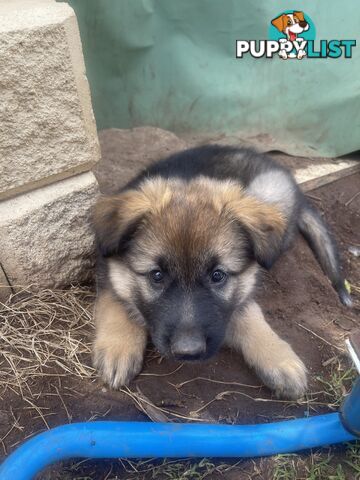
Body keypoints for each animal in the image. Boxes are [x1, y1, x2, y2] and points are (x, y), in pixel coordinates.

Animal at [92, 144, 352, 400]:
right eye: (157, 276)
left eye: (218, 276)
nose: (189, 351)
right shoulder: (108, 272)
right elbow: (117, 303)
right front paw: (118, 347)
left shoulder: (243, 287)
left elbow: (249, 314)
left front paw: (278, 358)